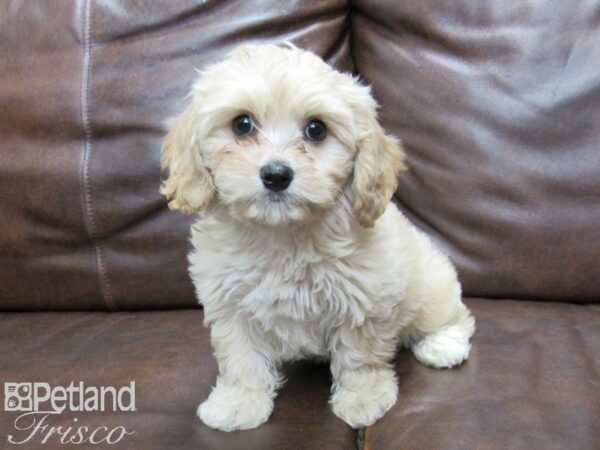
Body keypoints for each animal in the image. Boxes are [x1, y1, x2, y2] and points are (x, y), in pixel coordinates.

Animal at [162, 44, 476, 430]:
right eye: (242, 124)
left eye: (316, 129)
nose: (276, 175)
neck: (284, 235)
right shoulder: (230, 303)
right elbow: (240, 356)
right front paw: (238, 403)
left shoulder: (364, 298)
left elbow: (359, 355)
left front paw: (362, 399)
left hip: (430, 288)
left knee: (455, 315)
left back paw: (443, 345)